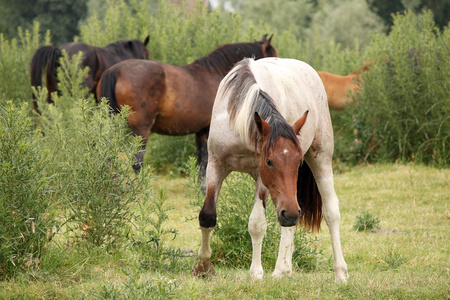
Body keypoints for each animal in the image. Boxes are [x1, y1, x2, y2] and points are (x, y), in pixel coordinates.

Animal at [98, 34, 278, 185]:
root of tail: (115, 71)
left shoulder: (201, 131)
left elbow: (202, 161)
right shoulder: (208, 131)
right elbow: (206, 162)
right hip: (141, 129)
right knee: (137, 162)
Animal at [192, 56, 350, 284]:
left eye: (298, 161)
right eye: (269, 161)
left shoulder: (261, 179)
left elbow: (257, 224)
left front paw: (256, 272)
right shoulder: (215, 164)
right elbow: (207, 215)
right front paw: (202, 267)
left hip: (321, 159)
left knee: (330, 212)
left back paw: (339, 272)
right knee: (290, 221)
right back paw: (283, 269)